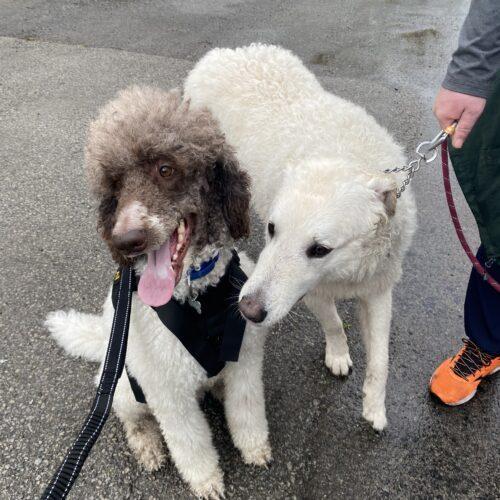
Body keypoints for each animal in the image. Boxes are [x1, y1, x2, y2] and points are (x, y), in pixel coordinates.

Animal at [186, 45, 416, 432]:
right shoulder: (313, 294)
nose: (248, 310)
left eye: (320, 249)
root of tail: (221, 53)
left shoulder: (378, 286)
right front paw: (338, 356)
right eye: (272, 229)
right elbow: (335, 324)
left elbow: (381, 359)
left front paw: (375, 406)